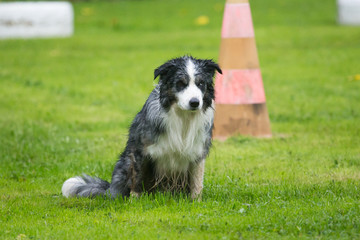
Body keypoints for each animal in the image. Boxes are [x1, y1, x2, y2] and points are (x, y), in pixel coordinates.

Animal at [62, 55, 222, 200]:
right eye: (181, 84)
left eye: (201, 84)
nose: (195, 102)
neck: (183, 117)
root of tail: (109, 189)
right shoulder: (140, 150)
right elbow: (137, 179)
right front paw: (135, 201)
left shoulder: (198, 152)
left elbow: (197, 182)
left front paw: (195, 202)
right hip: (125, 163)